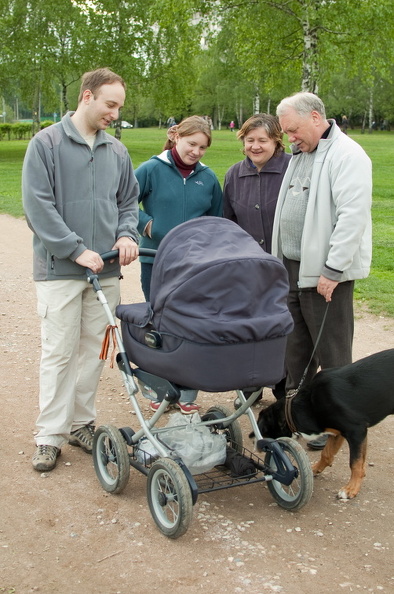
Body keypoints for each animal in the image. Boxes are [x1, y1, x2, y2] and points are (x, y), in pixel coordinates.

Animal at [255, 350, 394, 498]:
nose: (258, 446)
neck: (309, 402)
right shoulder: (337, 432)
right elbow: (327, 454)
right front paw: (314, 469)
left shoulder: (356, 431)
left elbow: (355, 463)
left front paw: (351, 488)